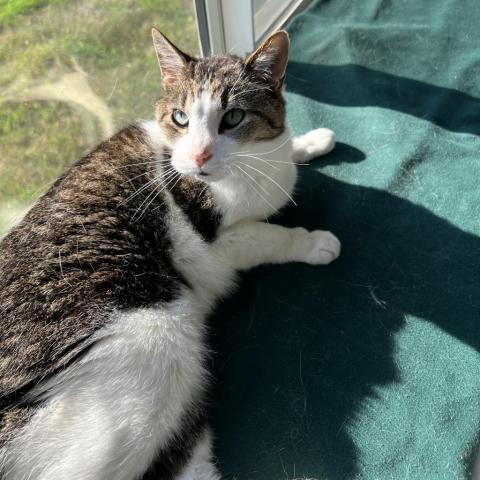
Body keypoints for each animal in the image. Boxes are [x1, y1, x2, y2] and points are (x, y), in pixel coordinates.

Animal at [0, 28, 340, 478]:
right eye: (181, 118)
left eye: (233, 118)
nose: (198, 157)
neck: (253, 167)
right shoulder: (217, 244)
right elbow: (271, 236)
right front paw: (314, 241)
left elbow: (289, 149)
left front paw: (311, 141)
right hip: (152, 345)